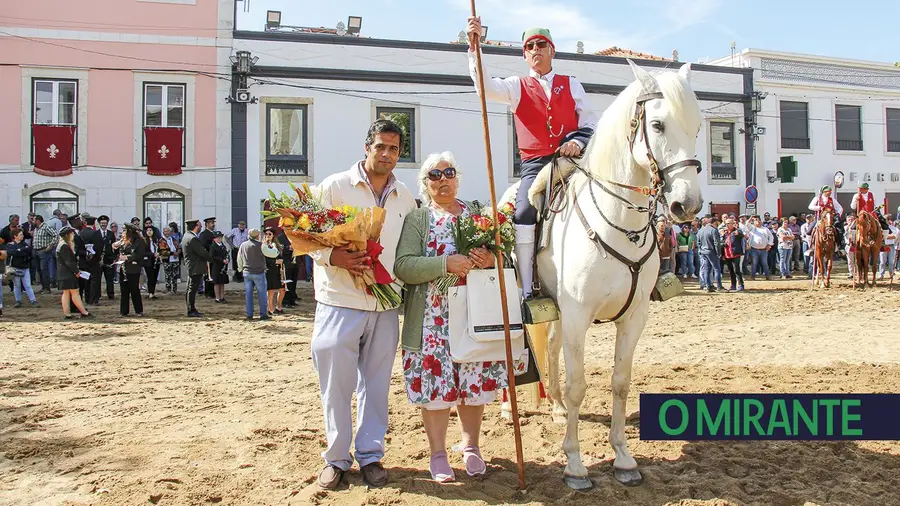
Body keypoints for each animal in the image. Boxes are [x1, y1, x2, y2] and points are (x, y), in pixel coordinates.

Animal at [500, 60, 704, 490]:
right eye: (657, 124)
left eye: (696, 127)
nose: (688, 205)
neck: (619, 222)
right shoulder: (579, 314)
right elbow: (579, 385)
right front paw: (574, 464)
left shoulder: (634, 316)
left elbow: (620, 382)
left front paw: (624, 458)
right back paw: (511, 410)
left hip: (558, 312)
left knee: (551, 349)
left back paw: (556, 408)